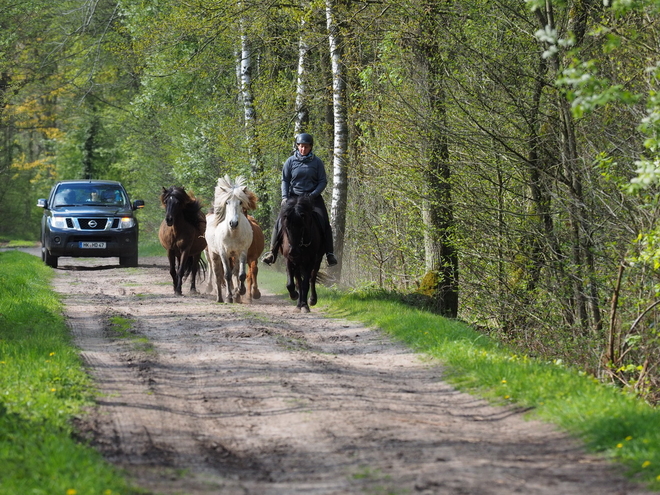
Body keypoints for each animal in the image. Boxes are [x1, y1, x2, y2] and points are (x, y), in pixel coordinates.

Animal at [206, 176, 258, 304]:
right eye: (227, 202)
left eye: (240, 202)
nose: (233, 223)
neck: (232, 233)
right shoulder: (223, 253)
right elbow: (227, 275)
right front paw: (229, 297)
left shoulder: (242, 252)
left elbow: (241, 274)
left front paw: (241, 291)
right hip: (214, 255)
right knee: (217, 275)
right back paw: (220, 297)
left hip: (234, 256)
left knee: (234, 272)